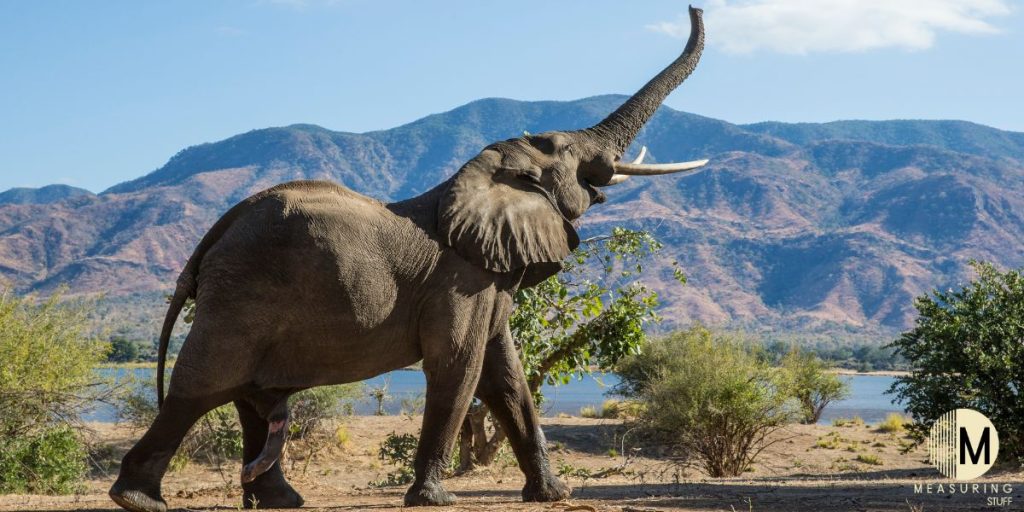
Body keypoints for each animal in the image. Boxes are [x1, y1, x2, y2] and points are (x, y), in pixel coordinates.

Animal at [109, 6, 705, 512]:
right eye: (564, 150)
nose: (696, 8)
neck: (478, 177)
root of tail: (213, 236)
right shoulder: (460, 282)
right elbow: (459, 366)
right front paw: (435, 499)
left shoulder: (487, 279)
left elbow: (506, 376)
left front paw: (553, 495)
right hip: (241, 295)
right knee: (202, 386)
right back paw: (137, 500)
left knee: (248, 397)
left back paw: (281, 502)